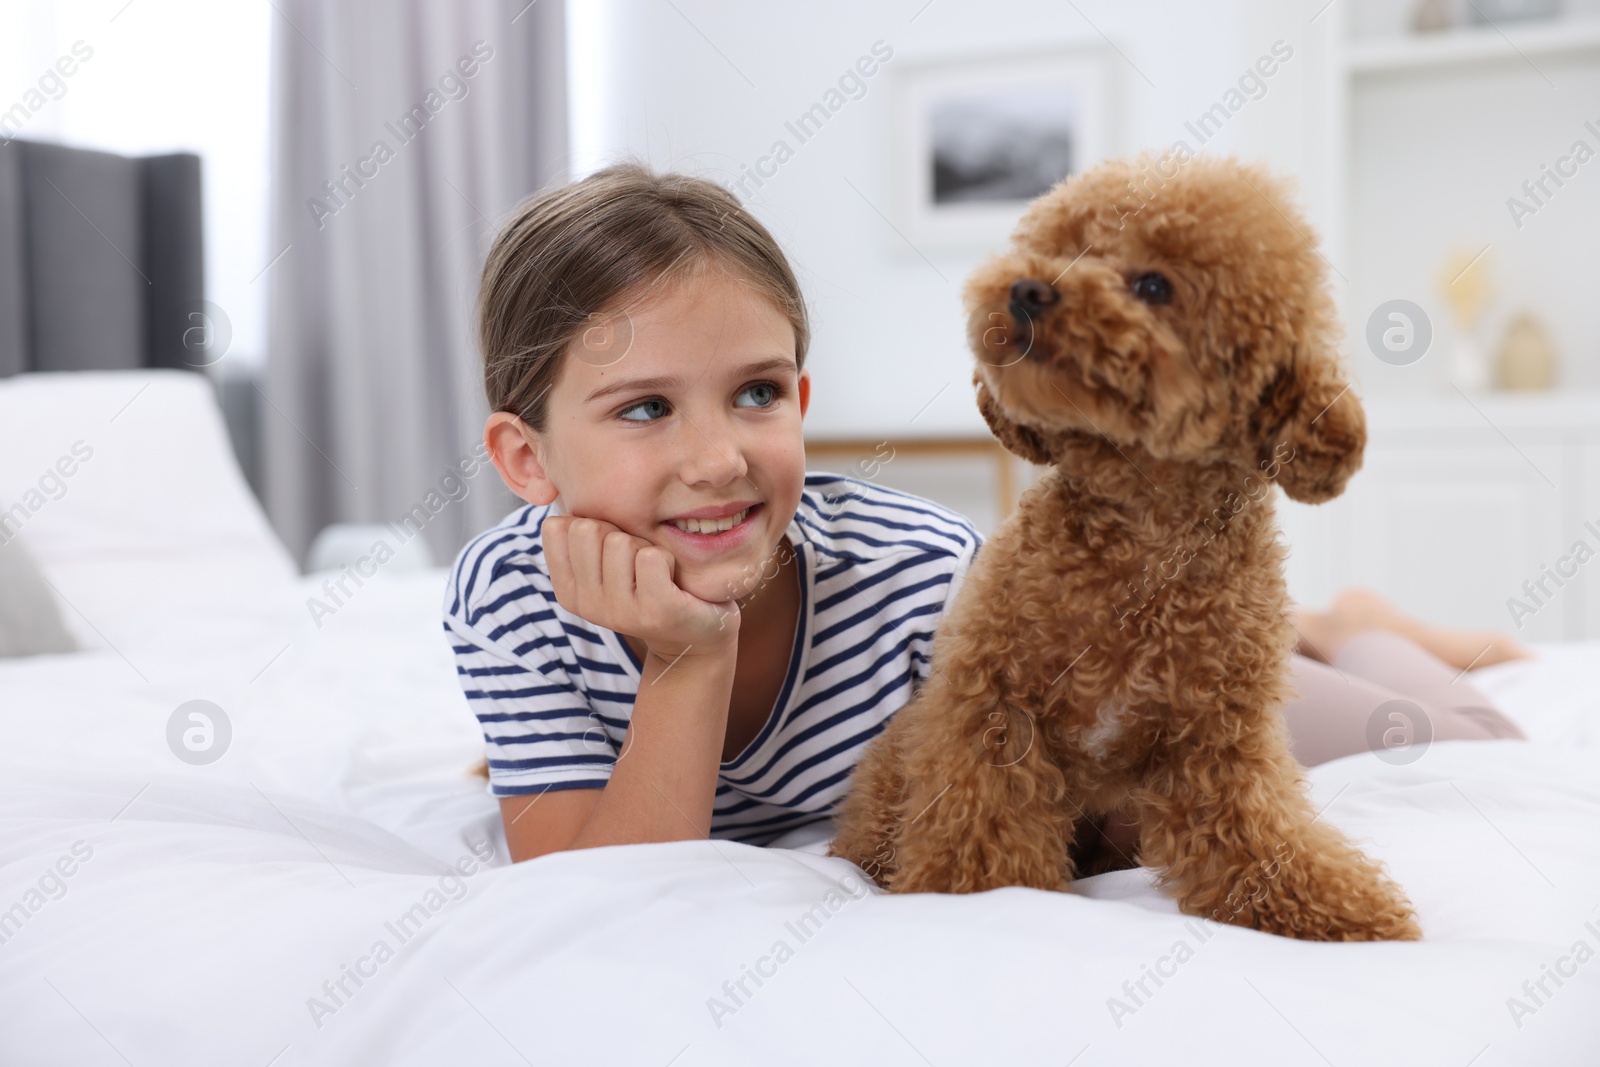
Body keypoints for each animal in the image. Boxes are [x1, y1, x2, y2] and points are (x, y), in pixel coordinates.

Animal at [832, 150, 1420, 940]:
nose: (1026, 288)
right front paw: (971, 904)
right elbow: (978, 839)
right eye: (1061, 247)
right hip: (901, 762)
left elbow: (1262, 840)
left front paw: (1341, 913)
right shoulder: (992, 708)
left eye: (1153, 285)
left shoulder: (1219, 744)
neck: (1143, 540)